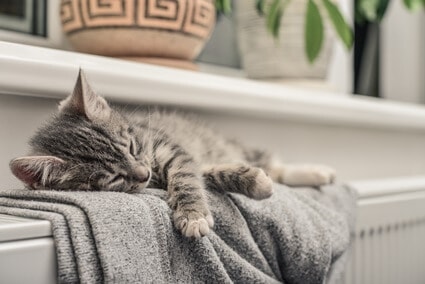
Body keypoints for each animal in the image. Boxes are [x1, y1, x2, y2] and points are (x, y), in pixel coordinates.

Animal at [8, 70, 334, 239]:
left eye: (131, 146)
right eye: (112, 178)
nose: (143, 174)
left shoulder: (171, 148)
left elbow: (187, 178)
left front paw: (194, 213)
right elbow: (205, 175)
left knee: (270, 161)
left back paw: (315, 172)